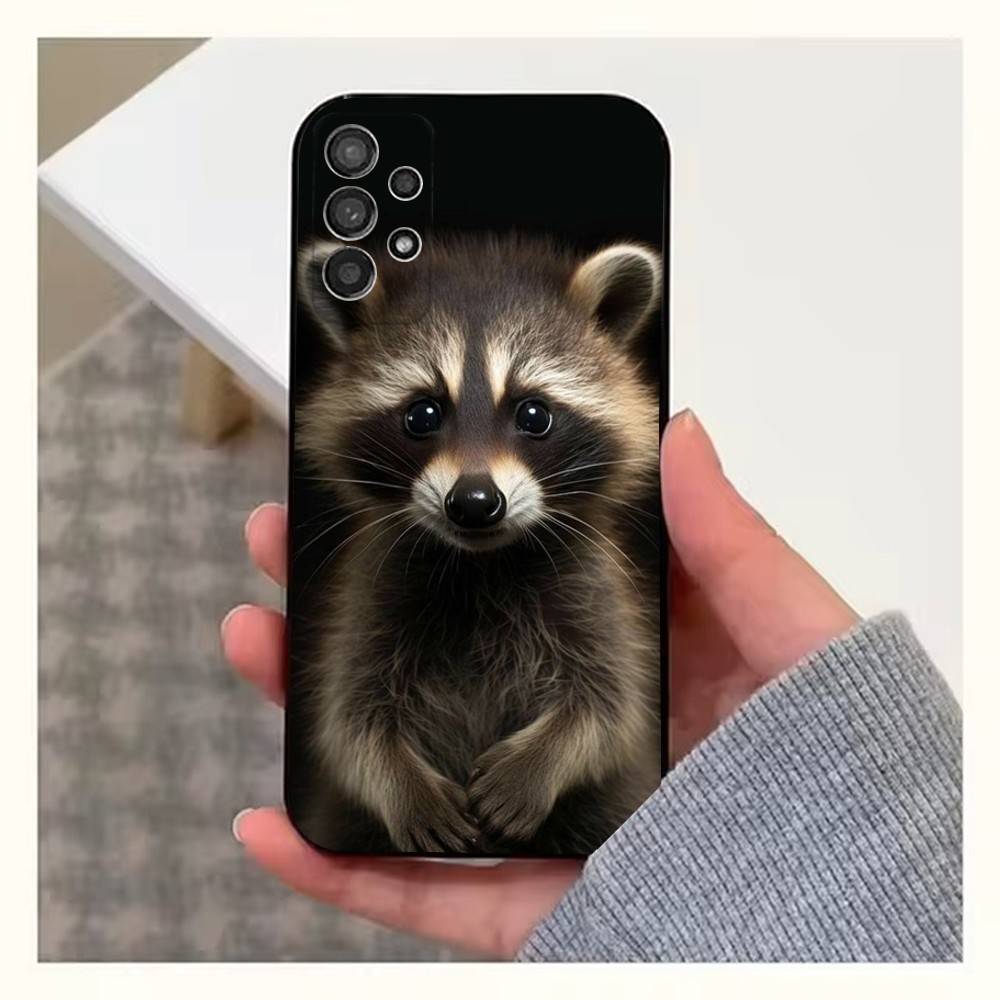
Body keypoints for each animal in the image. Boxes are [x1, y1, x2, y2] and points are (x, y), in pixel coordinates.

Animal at [292, 233, 662, 856]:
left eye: (534, 413)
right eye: (422, 413)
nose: (473, 501)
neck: (481, 564)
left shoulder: (594, 592)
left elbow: (607, 710)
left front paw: (537, 765)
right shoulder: (374, 595)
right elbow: (351, 725)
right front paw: (404, 789)